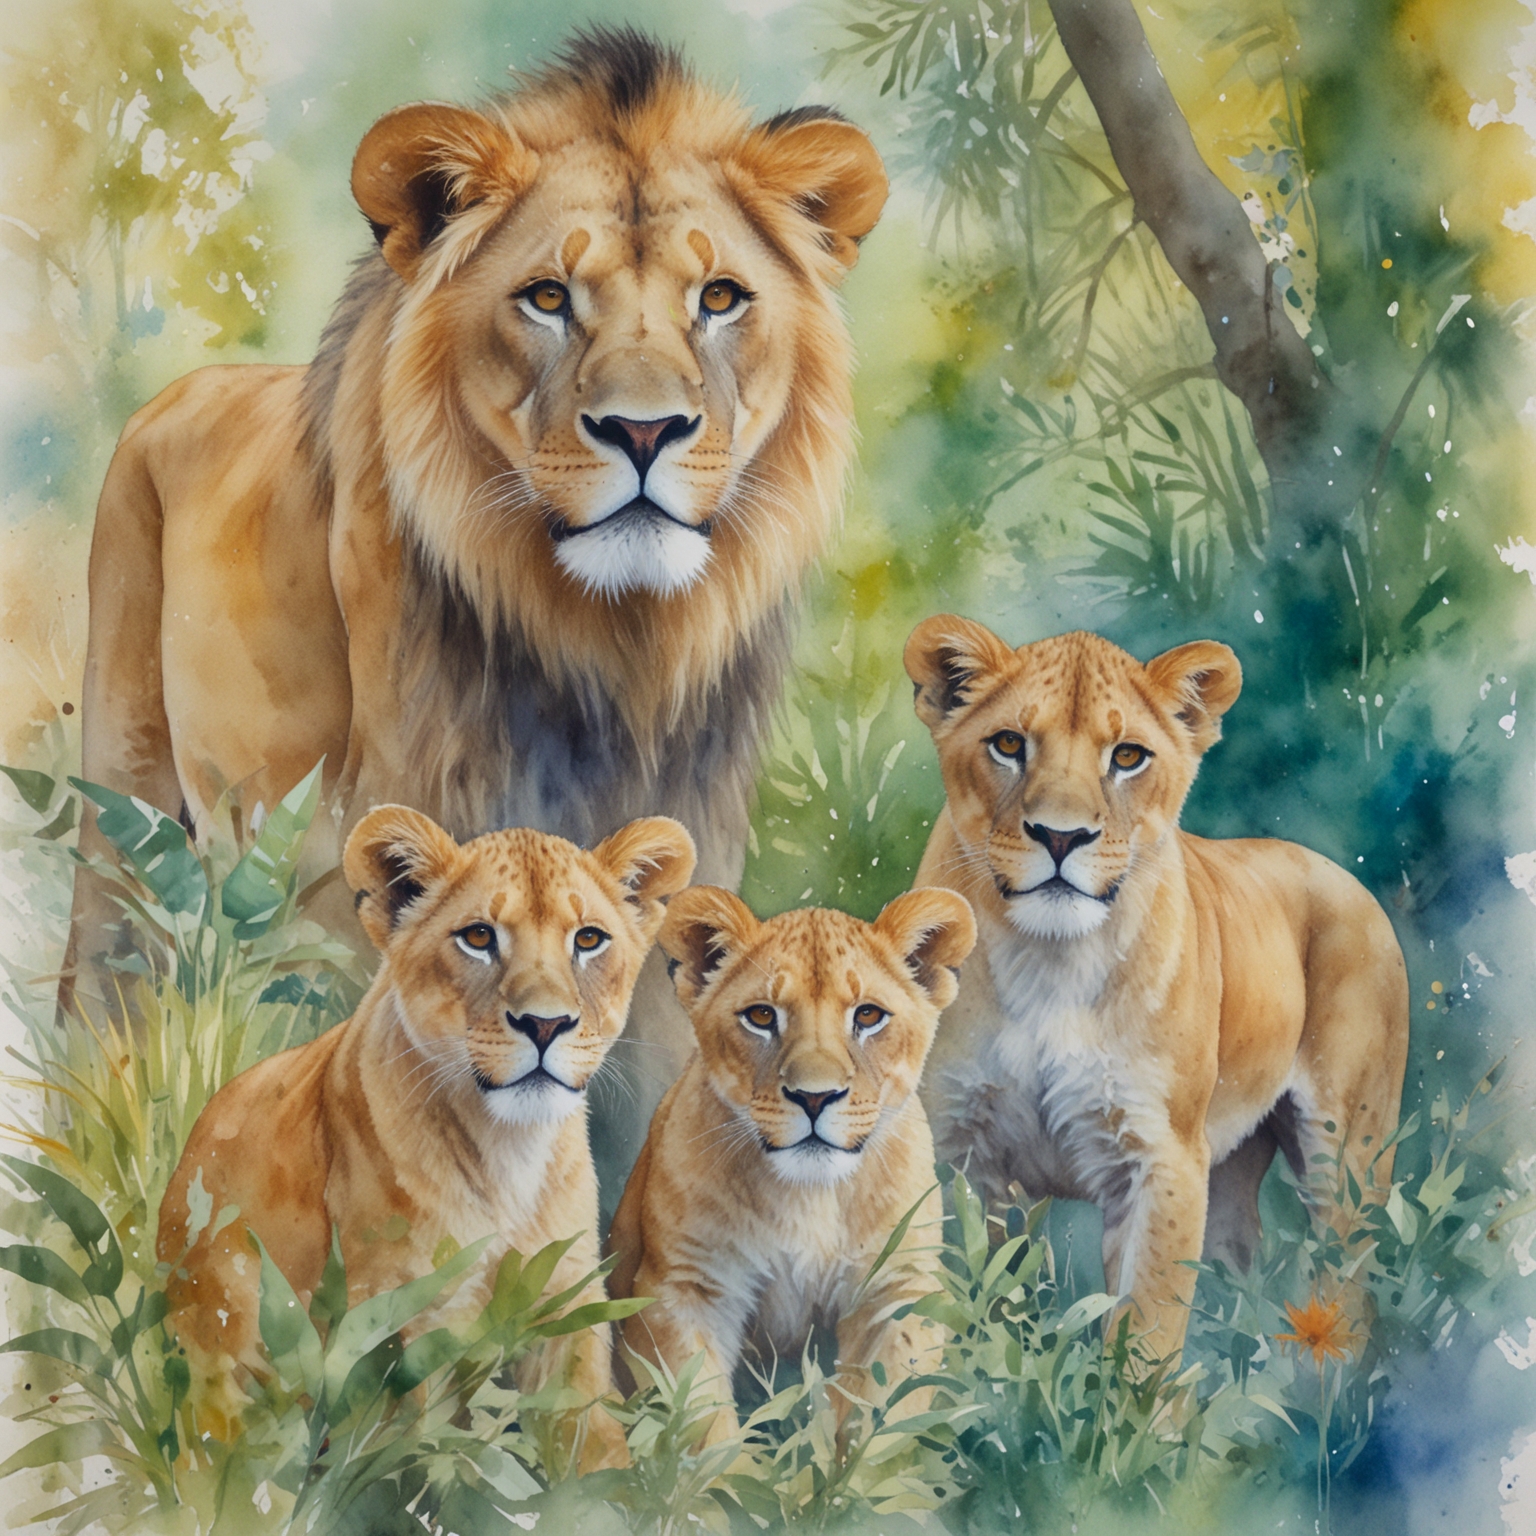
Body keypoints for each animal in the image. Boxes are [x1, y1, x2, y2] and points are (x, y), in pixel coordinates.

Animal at [65, 28, 887, 1168]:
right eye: (547, 297)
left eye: (720, 299)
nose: (643, 430)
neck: (607, 645)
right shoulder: (372, 849)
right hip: (127, 821)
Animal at [156, 806, 696, 1469]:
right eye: (479, 937)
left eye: (589, 940)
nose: (545, 1024)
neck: (508, 1151)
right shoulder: (398, 1319)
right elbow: (424, 1455)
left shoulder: (567, 1304)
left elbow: (592, 1445)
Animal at [605, 885, 975, 1446]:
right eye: (761, 1016)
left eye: (868, 1016)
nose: (814, 1097)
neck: (809, 1195)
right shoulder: (687, 1287)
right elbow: (704, 1427)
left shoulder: (896, 1290)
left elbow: (880, 1418)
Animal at [902, 616, 1409, 1360]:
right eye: (1008, 744)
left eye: (1128, 757)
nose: (1061, 836)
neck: (1050, 961)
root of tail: (1344, 875)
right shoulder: (967, 1155)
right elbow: (982, 1304)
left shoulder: (1162, 1156)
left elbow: (1143, 1336)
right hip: (1229, 1168)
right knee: (1239, 1273)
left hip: (1345, 1154)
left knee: (1349, 1285)